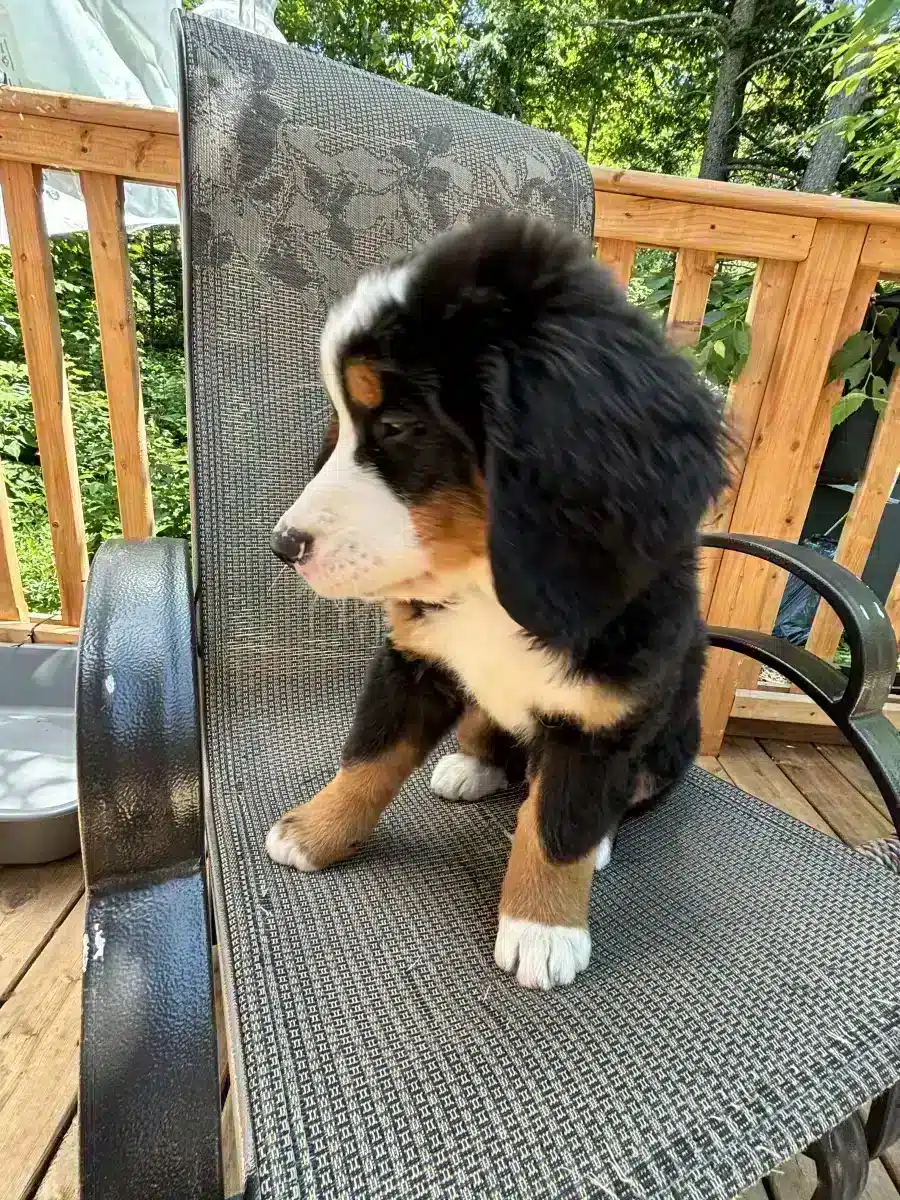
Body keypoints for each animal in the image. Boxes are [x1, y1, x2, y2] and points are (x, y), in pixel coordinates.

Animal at [271, 216, 729, 993]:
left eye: (397, 427)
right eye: (338, 427)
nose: (284, 545)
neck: (491, 590)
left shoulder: (601, 716)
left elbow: (561, 822)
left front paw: (543, 930)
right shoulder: (412, 659)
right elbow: (368, 757)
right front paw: (313, 831)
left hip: (672, 735)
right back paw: (474, 764)